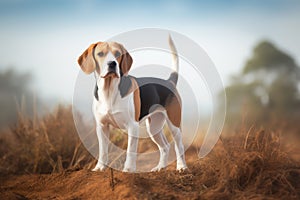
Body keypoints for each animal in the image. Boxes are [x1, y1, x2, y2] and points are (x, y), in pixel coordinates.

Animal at [77, 35, 188, 172]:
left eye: (118, 54)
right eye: (100, 54)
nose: (112, 64)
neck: (109, 91)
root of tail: (169, 82)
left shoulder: (132, 126)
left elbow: (130, 150)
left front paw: (128, 170)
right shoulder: (102, 126)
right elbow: (103, 150)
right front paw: (100, 167)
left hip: (174, 124)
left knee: (179, 146)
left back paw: (181, 167)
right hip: (154, 127)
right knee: (165, 146)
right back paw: (160, 167)